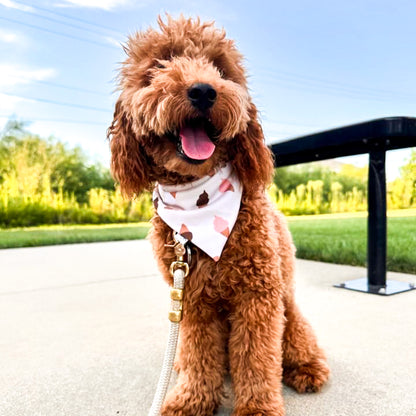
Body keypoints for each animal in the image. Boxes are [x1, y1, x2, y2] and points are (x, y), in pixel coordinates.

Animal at [109, 15, 330, 416]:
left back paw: (307, 368)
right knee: (190, 354)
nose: (203, 91)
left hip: (288, 311)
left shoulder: (258, 296)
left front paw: (258, 408)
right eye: (162, 63)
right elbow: (200, 354)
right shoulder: (192, 300)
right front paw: (191, 400)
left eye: (220, 68)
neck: (198, 205)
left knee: (296, 342)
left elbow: (257, 358)